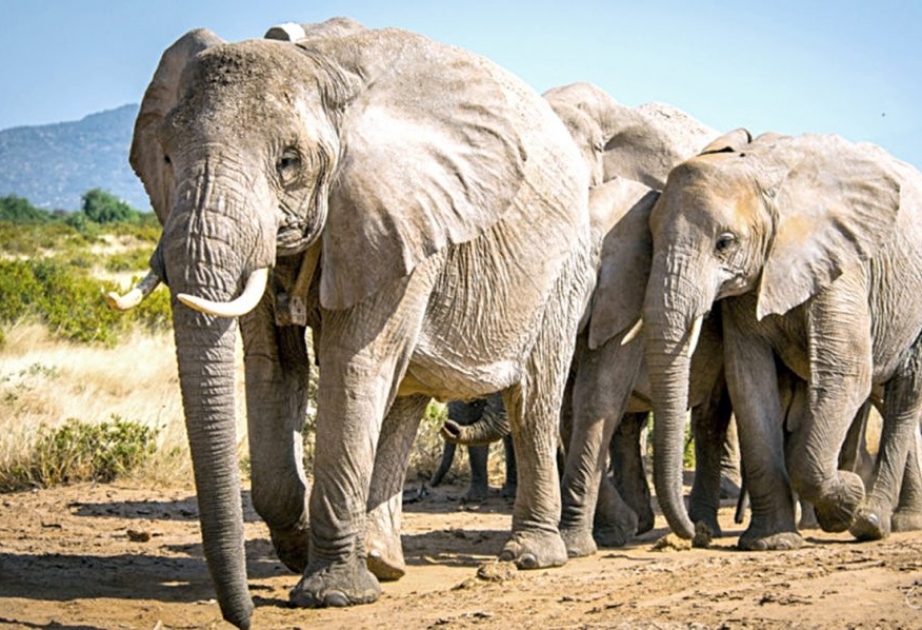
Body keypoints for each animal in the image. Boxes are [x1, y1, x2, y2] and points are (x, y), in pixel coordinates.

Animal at [112, 19, 596, 629]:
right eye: (168, 159)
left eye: (289, 162)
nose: (242, 618)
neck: (321, 68)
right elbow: (273, 366)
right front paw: (299, 549)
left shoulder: (399, 214)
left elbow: (352, 363)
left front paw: (332, 595)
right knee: (405, 395)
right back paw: (382, 561)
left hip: (566, 268)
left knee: (532, 396)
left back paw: (529, 557)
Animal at [641, 128, 922, 552]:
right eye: (651, 240)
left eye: (725, 242)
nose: (695, 534)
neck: (761, 172)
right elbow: (749, 382)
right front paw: (772, 542)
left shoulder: (842, 262)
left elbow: (846, 371)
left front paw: (847, 501)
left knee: (903, 397)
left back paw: (873, 522)